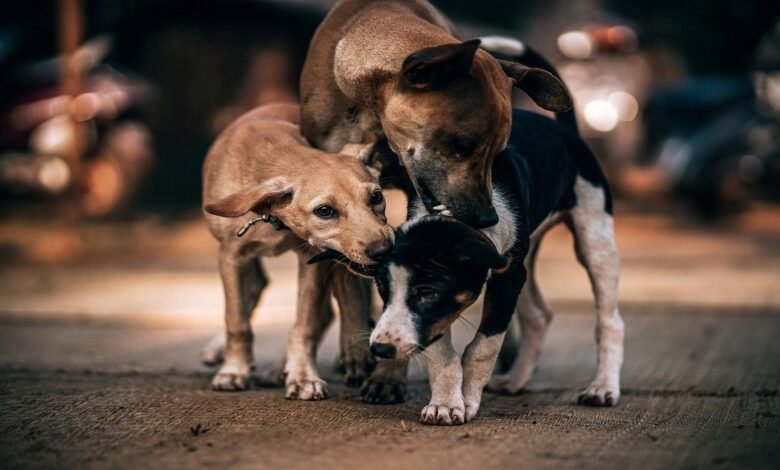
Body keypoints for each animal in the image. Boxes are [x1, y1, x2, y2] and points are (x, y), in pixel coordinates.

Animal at [203, 103, 394, 400]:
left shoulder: (311, 259)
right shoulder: (231, 256)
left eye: (376, 197)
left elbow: (305, 325)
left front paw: (303, 376)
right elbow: (237, 320)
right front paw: (234, 371)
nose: (384, 249)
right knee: (254, 289)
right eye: (324, 211)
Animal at [368, 103, 624, 426]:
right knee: (539, 316)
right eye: (383, 290)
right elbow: (441, 351)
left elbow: (483, 347)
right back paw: (515, 380)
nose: (380, 348)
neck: (459, 213)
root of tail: (567, 131)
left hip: (594, 237)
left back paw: (602, 387)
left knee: (610, 321)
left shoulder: (506, 277)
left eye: (427, 293)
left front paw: (467, 400)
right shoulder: (491, 285)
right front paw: (445, 403)